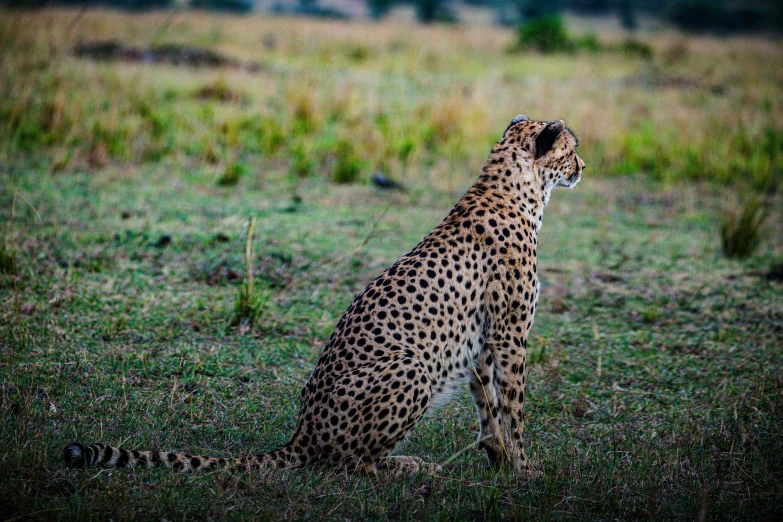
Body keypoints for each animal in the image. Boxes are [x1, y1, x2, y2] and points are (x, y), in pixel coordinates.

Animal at [64, 115, 584, 476]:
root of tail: (303, 432)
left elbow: (488, 406)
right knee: (349, 464)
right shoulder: (509, 334)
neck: (517, 189)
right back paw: (408, 467)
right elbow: (513, 406)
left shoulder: (481, 339)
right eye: (572, 148)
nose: (584, 165)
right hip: (413, 367)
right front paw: (524, 469)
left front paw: (500, 462)